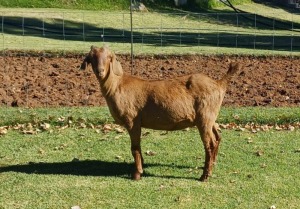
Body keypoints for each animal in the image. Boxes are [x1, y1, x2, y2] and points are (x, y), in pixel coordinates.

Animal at [81, 45, 240, 181]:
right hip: (211, 116)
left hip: (204, 117)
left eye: (109, 57)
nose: (100, 71)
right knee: (218, 137)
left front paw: (137, 174)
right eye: (91, 58)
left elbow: (135, 148)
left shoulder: (132, 121)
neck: (117, 85)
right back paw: (212, 167)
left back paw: (204, 176)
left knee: (210, 143)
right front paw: (142, 166)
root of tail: (219, 84)